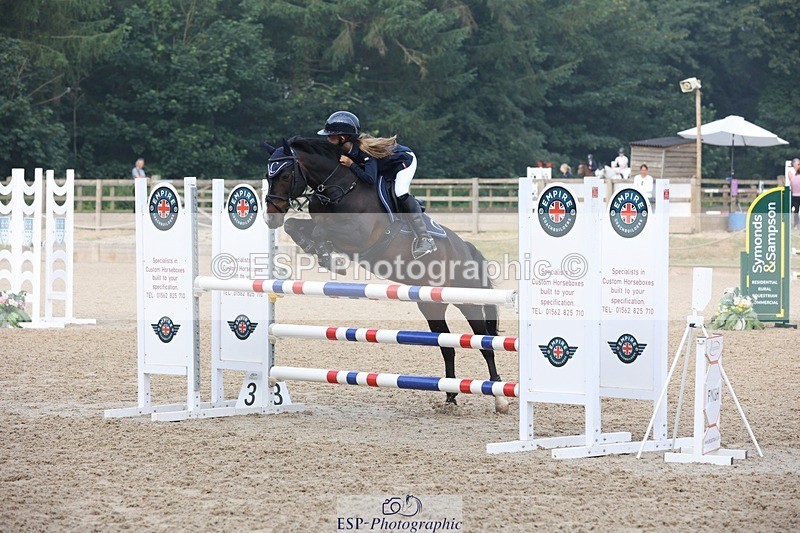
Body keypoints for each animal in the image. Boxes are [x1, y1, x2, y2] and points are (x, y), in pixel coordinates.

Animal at [263, 137, 509, 413]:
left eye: (285, 175)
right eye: (268, 175)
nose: (270, 216)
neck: (341, 186)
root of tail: (465, 247)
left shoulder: (357, 235)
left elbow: (321, 230)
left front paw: (327, 254)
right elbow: (295, 226)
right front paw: (320, 252)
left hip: (467, 300)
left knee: (484, 343)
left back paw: (500, 398)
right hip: (431, 304)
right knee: (447, 346)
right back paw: (450, 396)